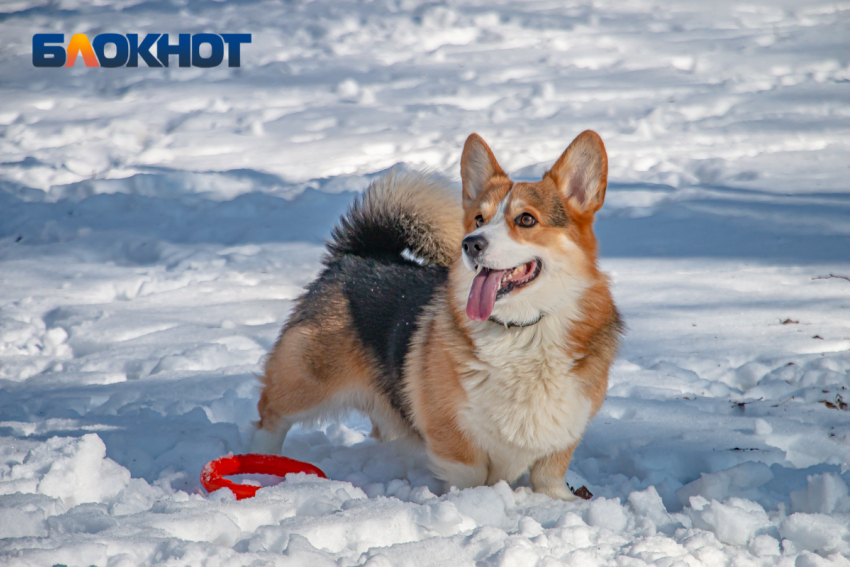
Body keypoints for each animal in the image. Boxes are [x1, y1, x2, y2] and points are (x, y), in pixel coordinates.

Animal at [248, 130, 620, 502]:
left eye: (526, 219)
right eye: (479, 219)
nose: (471, 243)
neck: (521, 331)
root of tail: (361, 253)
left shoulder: (562, 434)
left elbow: (549, 476)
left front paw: (561, 503)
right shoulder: (453, 434)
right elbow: (468, 475)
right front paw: (474, 503)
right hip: (307, 380)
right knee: (270, 417)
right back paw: (261, 466)